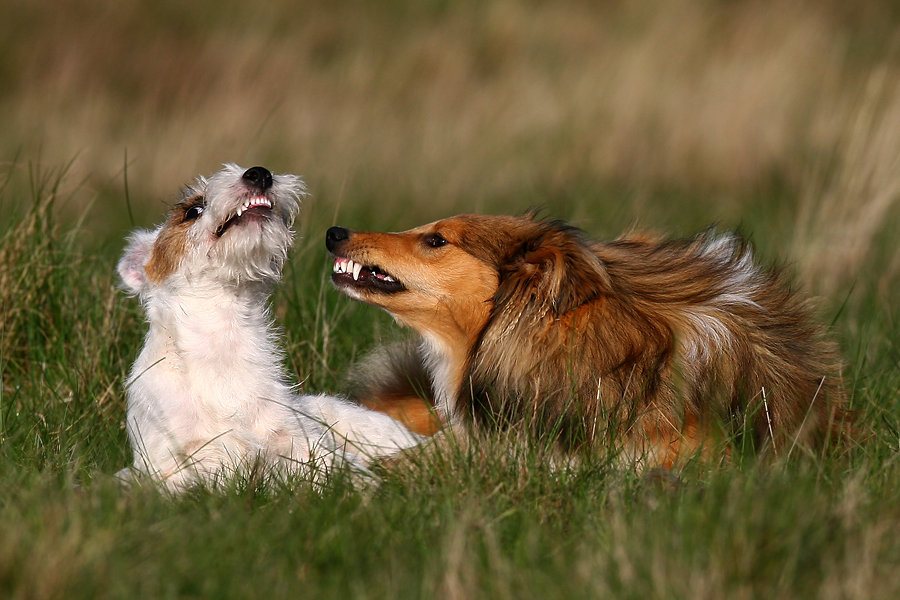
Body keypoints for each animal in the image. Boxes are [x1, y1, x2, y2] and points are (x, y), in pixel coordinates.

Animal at [117, 165, 422, 492]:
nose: (259, 173)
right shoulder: (173, 462)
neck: (224, 342)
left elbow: (327, 464)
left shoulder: (297, 438)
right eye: (193, 210)